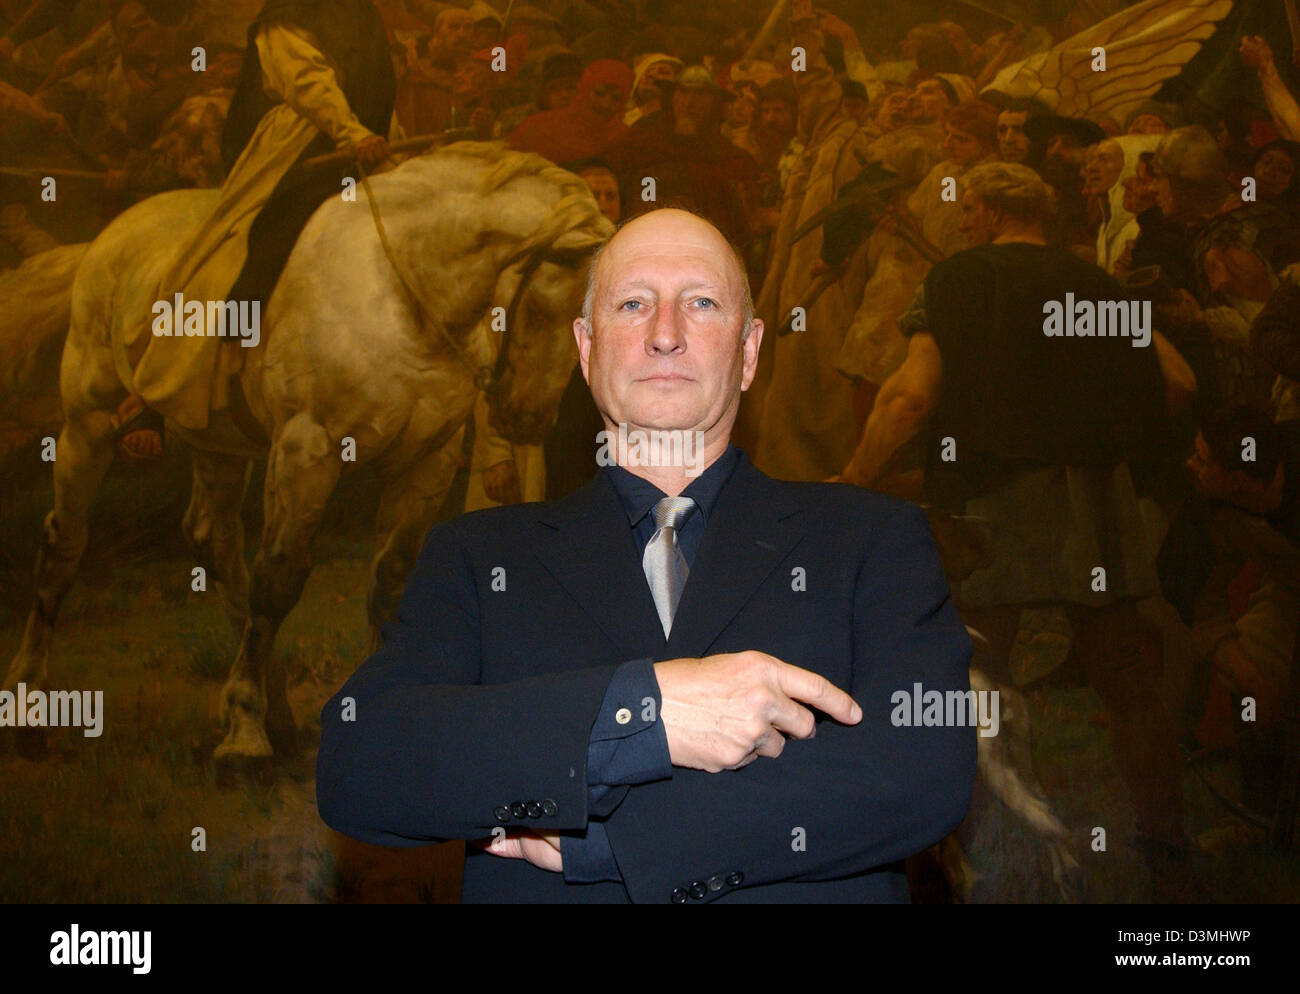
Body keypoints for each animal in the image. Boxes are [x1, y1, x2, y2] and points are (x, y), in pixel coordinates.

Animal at [5, 141, 613, 774]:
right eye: (545, 311)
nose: (527, 421)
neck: (405, 290)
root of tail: (109, 235)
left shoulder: (426, 460)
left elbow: (389, 579)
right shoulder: (308, 450)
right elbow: (279, 579)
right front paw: (243, 735)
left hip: (218, 442)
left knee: (214, 542)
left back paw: (277, 713)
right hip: (88, 420)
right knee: (64, 543)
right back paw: (30, 709)